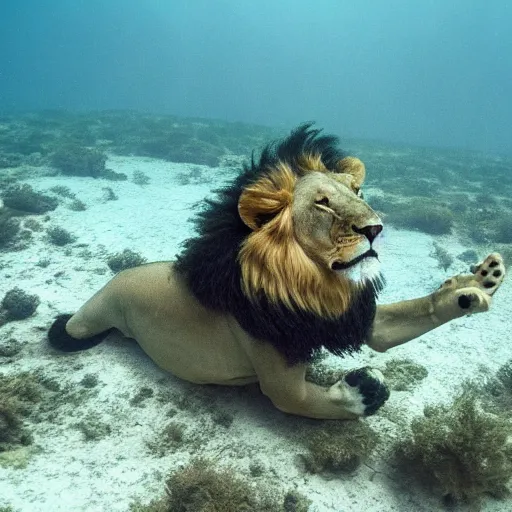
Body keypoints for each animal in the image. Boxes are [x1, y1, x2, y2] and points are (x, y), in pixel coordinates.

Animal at [47, 124, 504, 420]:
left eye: (357, 191)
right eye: (322, 203)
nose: (375, 228)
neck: (316, 288)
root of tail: (120, 276)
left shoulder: (354, 320)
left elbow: (410, 316)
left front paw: (474, 287)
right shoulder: (281, 381)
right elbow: (312, 401)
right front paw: (366, 389)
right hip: (98, 311)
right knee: (72, 328)